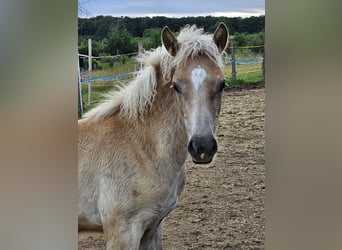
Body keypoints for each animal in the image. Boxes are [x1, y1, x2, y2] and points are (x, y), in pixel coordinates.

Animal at [79, 22, 230, 249]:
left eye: (222, 84)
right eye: (176, 86)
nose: (202, 147)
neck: (141, 146)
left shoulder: (153, 227)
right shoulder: (122, 232)